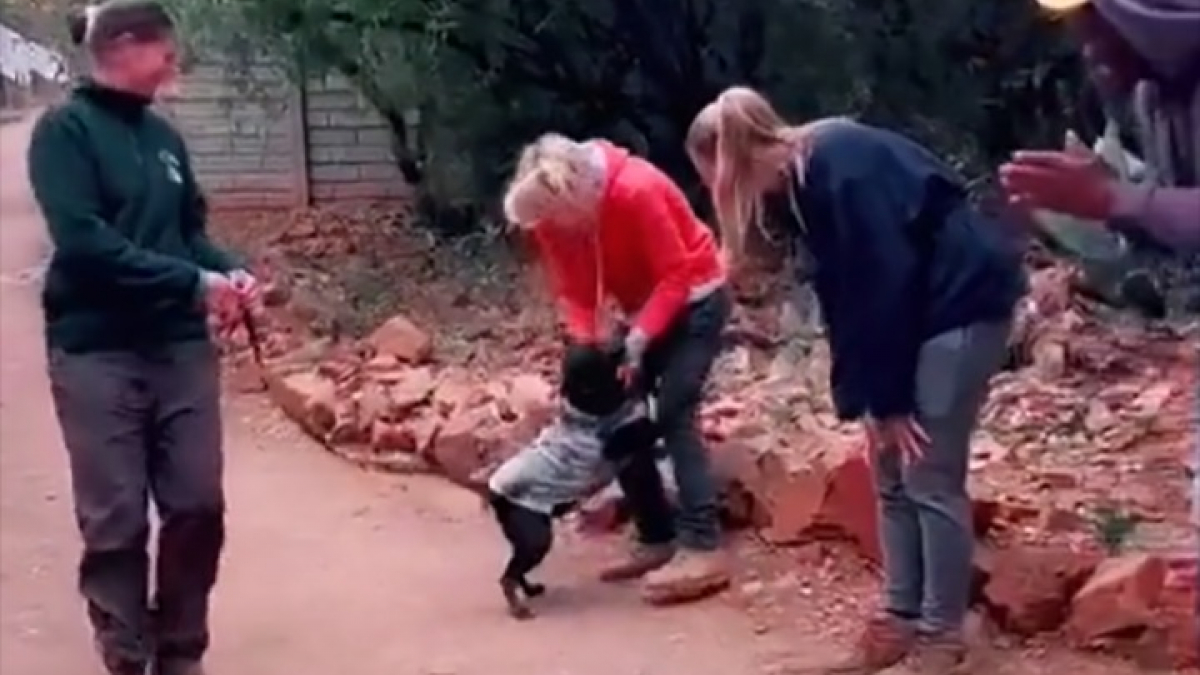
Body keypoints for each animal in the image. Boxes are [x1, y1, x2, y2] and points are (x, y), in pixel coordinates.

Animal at [482, 343, 662, 619]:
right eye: (599, 355)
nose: (619, 345)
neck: (585, 405)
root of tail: (495, 492)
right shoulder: (627, 437)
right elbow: (650, 421)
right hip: (536, 539)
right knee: (508, 576)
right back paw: (518, 606)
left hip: (522, 539)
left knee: (515, 569)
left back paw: (530, 590)